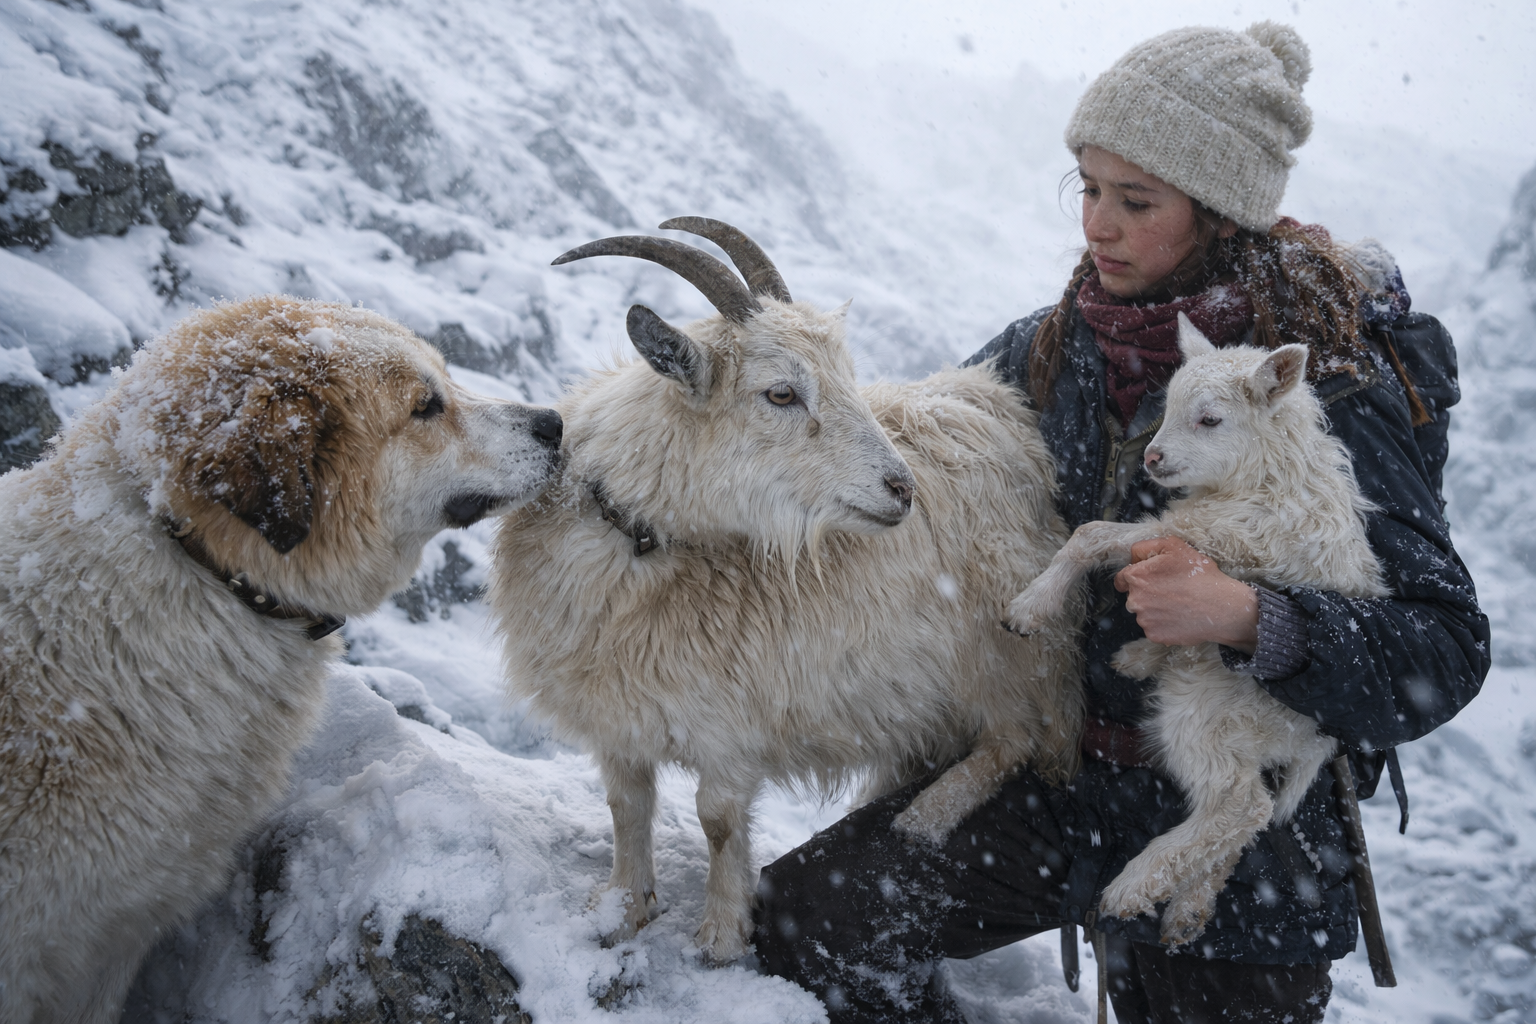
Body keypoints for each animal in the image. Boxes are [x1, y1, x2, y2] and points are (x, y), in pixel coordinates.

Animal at [488, 218, 1082, 963]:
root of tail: (1005, 415)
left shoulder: (731, 725)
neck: (641, 544)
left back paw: (924, 815)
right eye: (780, 393)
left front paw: (720, 934)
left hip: (1008, 652)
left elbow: (716, 818)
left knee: (1016, 740)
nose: (902, 489)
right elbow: (628, 807)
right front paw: (622, 908)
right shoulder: (621, 717)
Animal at [1005, 312, 1388, 945]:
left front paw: (1030, 607)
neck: (1266, 474)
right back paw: (1188, 909)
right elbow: (1096, 538)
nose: (1154, 459)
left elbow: (1088, 534)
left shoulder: (1216, 539)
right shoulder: (1190, 530)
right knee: (1241, 822)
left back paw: (1135, 886)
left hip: (1212, 706)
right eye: (1168, 405)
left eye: (1210, 419)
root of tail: (1314, 740)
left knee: (1241, 807)